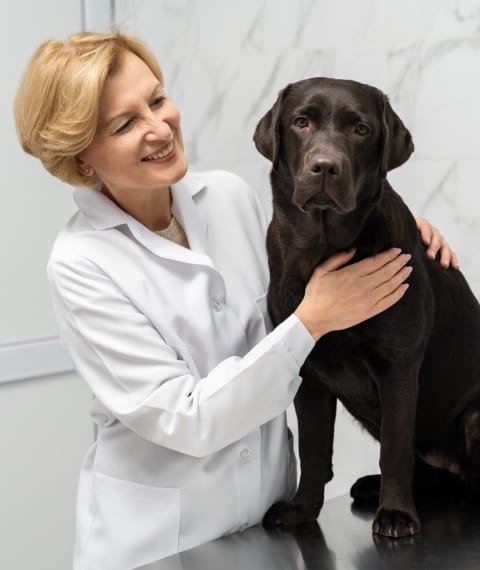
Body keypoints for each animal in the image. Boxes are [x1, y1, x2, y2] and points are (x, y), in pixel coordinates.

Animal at [256, 79, 480, 536]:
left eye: (361, 129)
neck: (324, 248)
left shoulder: (398, 367)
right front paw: (302, 509)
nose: (325, 167)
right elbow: (313, 448)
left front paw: (395, 514)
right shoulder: (309, 374)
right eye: (301, 122)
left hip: (474, 416)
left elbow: (394, 448)